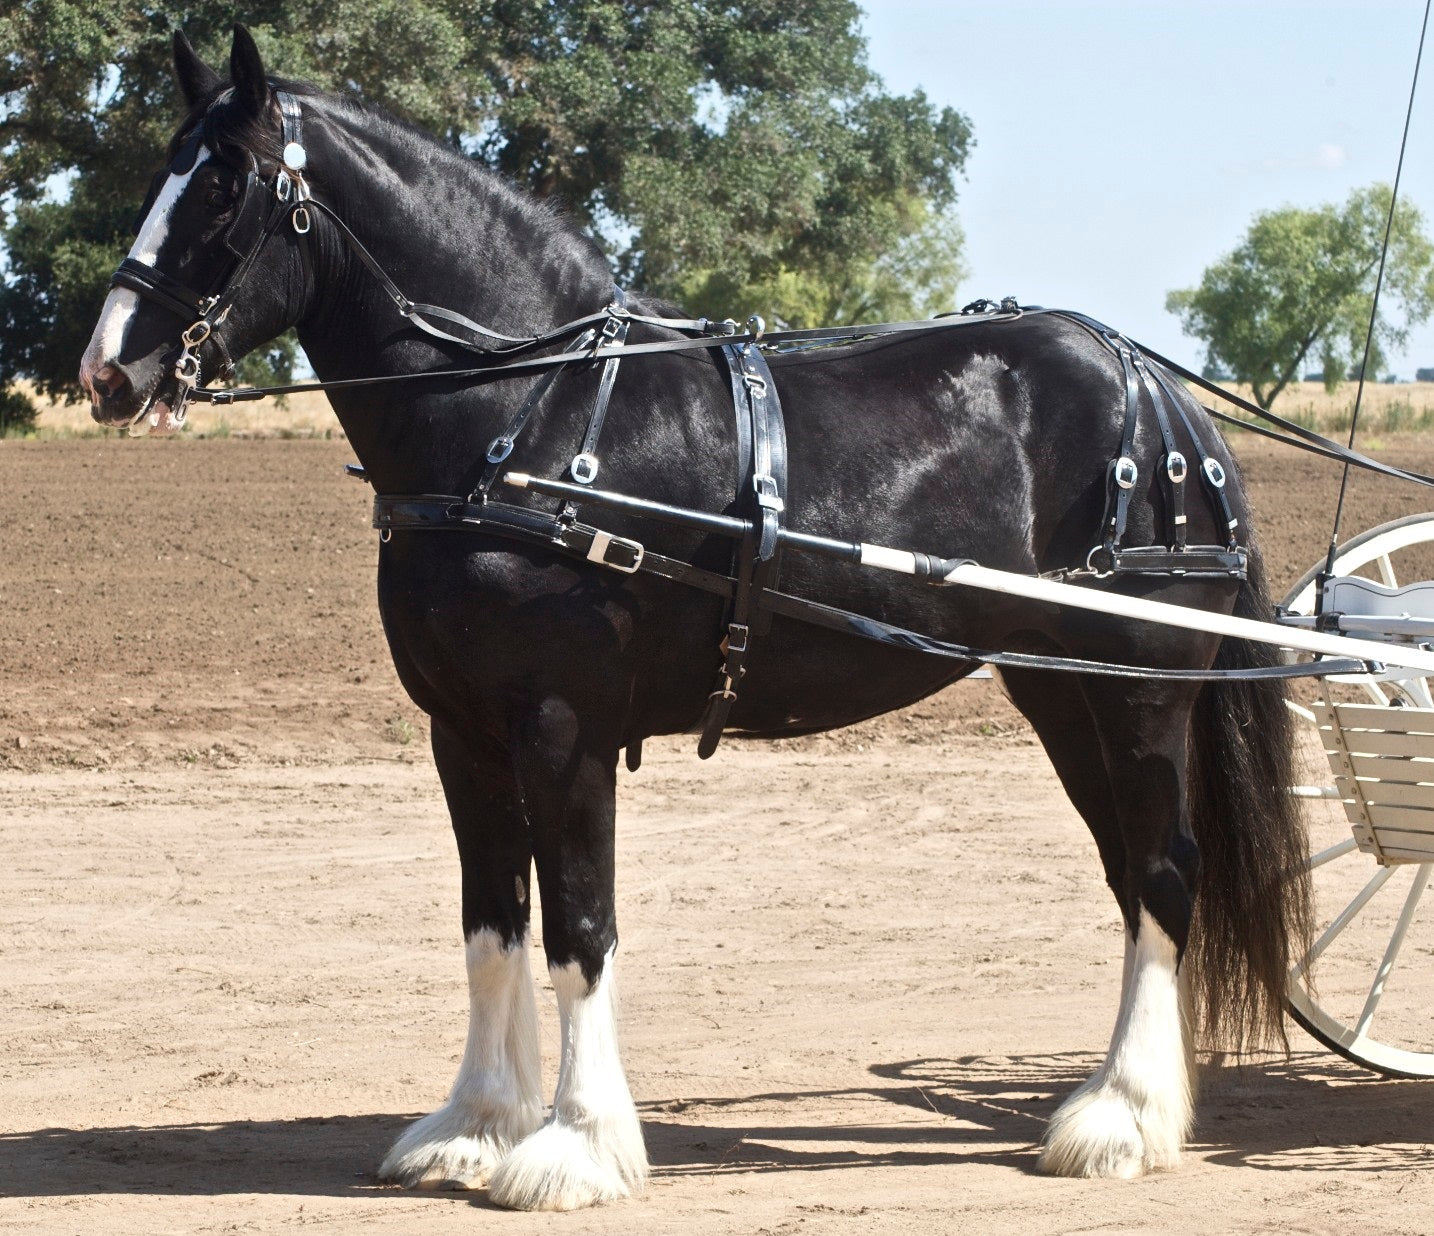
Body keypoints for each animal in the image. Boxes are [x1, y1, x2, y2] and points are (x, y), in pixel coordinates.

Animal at [79, 26, 1310, 1210]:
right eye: (162, 172)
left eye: (223, 187)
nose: (105, 374)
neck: (526, 414)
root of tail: (1154, 387)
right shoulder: (462, 733)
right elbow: (492, 927)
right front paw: (477, 1125)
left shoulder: (562, 726)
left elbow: (579, 931)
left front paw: (575, 1148)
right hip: (1058, 687)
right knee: (1130, 872)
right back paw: (1112, 1105)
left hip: (1140, 690)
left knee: (1164, 869)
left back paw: (1126, 1119)